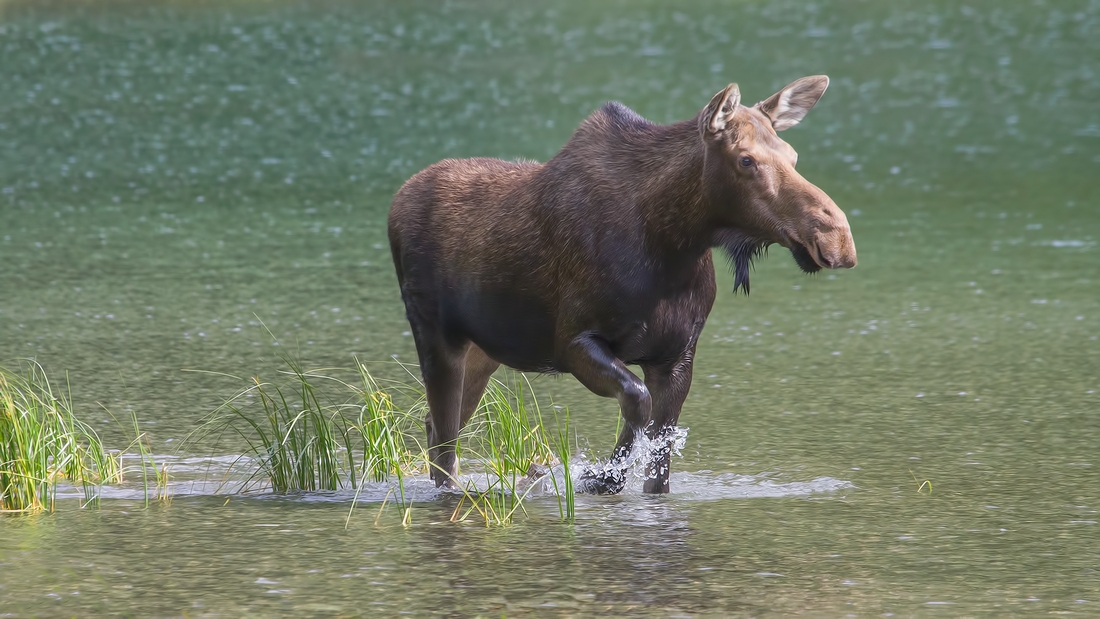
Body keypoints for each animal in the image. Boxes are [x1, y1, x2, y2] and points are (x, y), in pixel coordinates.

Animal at [391, 76, 853, 494]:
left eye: (792, 155)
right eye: (745, 160)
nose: (836, 237)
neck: (672, 246)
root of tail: (398, 198)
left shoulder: (677, 357)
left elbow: (659, 461)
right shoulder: (573, 341)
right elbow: (637, 401)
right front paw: (598, 476)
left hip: (484, 350)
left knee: (436, 427)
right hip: (435, 334)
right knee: (444, 441)